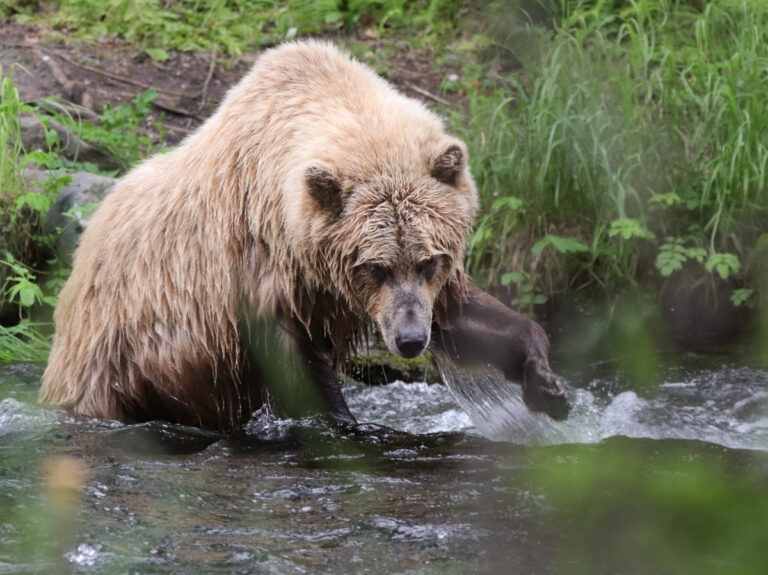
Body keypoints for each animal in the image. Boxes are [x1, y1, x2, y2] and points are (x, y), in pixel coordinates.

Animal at [39, 41, 570, 431]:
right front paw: (351, 425)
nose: (410, 340)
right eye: (374, 266)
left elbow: (463, 314)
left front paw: (545, 381)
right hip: (118, 355)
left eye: (428, 261)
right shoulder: (260, 276)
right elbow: (298, 370)